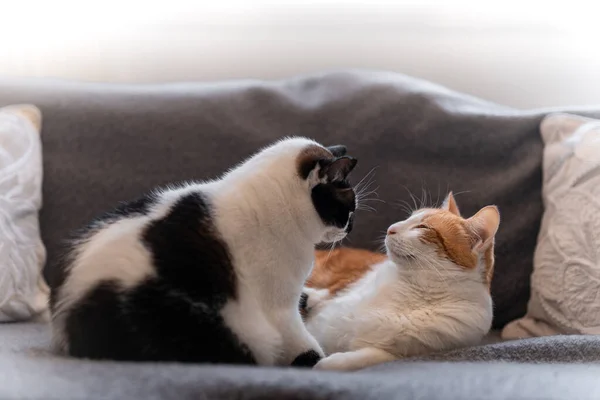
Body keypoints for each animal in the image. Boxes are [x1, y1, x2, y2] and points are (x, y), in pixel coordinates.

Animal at [302, 192, 500, 370]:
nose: (391, 228)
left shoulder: (413, 350)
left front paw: (329, 362)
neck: (415, 290)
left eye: (422, 227)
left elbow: (372, 356)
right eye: (408, 218)